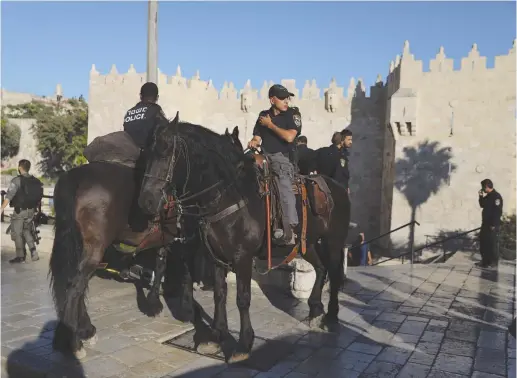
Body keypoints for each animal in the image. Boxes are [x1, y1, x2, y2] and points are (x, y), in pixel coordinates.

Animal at [138, 118, 350, 364]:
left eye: (166, 153)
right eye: (147, 153)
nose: (146, 200)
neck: (226, 196)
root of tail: (338, 188)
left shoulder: (243, 257)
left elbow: (242, 298)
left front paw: (243, 344)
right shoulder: (215, 255)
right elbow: (219, 294)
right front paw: (216, 335)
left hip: (333, 242)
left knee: (333, 273)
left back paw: (331, 316)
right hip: (307, 243)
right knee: (321, 268)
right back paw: (316, 310)